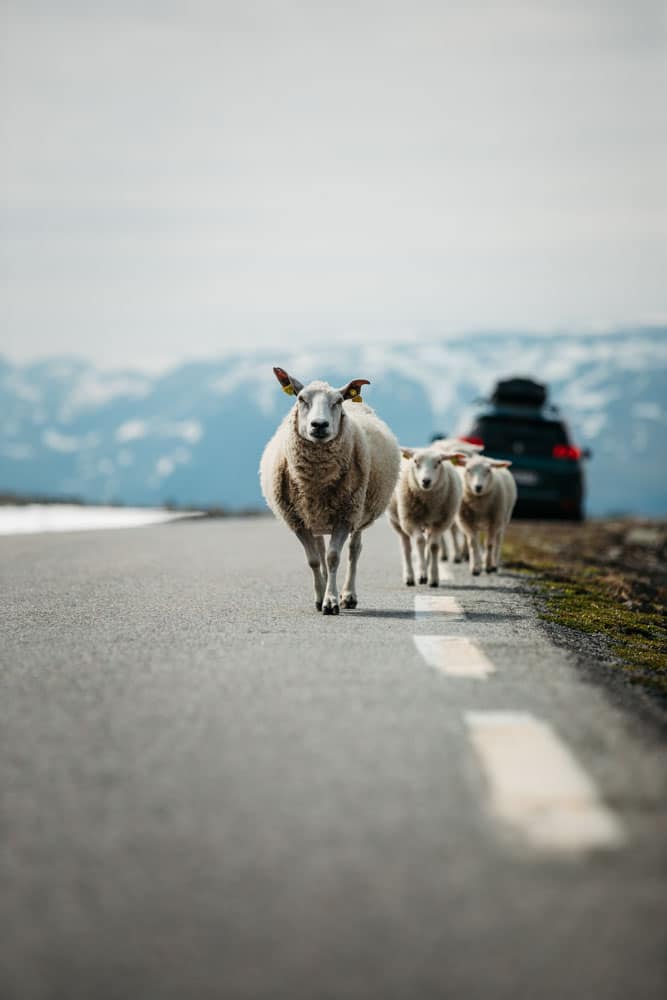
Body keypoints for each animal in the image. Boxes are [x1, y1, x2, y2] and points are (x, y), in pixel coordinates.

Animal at [258, 368, 400, 612]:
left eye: (338, 401)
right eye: (300, 398)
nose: (319, 425)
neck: (316, 482)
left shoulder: (345, 515)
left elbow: (334, 557)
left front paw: (331, 601)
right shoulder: (298, 520)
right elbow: (314, 560)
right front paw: (320, 596)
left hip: (358, 513)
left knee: (354, 550)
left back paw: (349, 595)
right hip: (317, 518)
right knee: (321, 551)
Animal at [388, 446, 468, 584]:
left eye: (439, 462)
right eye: (415, 461)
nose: (426, 481)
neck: (428, 500)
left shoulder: (440, 522)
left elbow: (434, 546)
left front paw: (433, 578)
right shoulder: (410, 520)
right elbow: (420, 541)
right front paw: (422, 575)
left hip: (429, 523)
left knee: (428, 545)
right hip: (397, 523)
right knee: (406, 548)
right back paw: (409, 576)